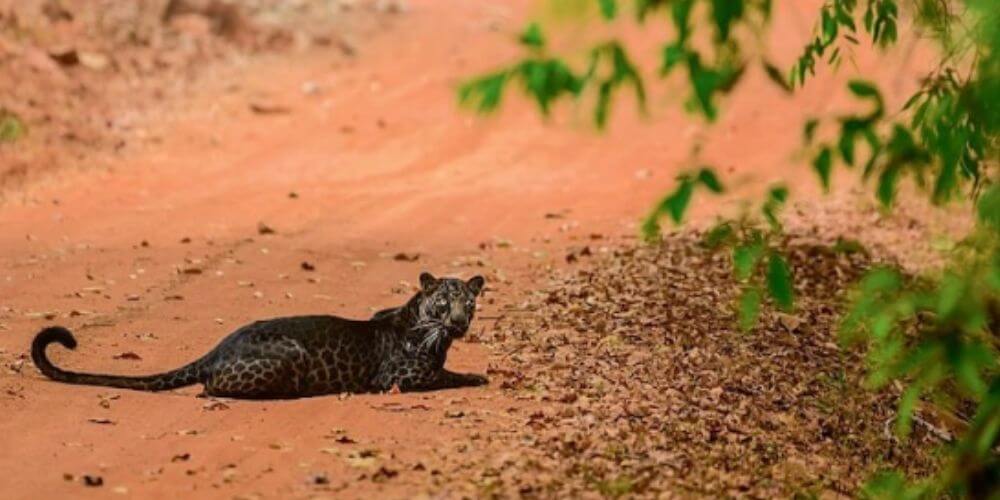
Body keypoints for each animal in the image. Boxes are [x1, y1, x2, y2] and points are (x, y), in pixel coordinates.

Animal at [28, 274, 488, 398]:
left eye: (469, 304)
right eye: (444, 303)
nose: (460, 323)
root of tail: (217, 348)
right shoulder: (399, 377)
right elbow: (447, 376)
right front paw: (478, 376)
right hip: (288, 355)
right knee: (210, 388)